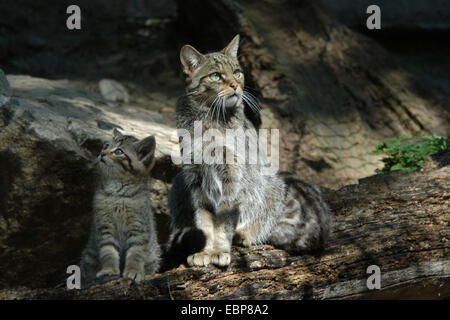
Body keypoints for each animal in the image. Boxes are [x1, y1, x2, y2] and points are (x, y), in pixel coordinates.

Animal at [81, 129, 162, 286]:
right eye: (106, 145)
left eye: (119, 151)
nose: (102, 153)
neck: (117, 192)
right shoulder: (104, 226)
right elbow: (108, 251)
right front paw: (109, 270)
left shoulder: (138, 227)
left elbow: (136, 252)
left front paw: (134, 271)